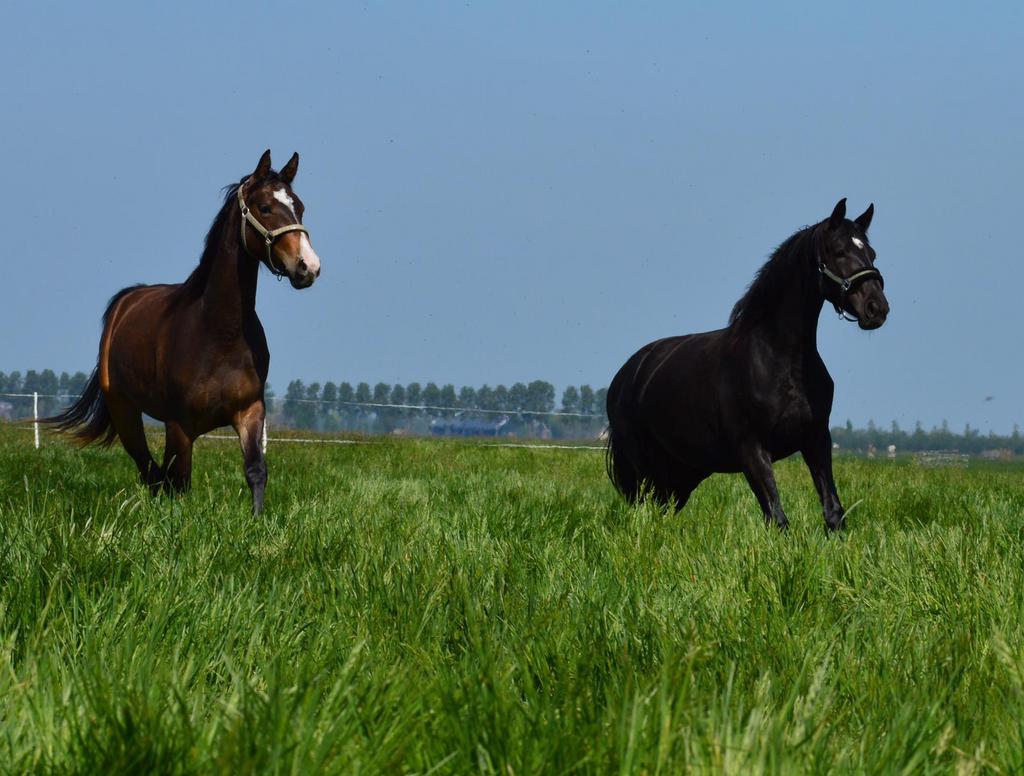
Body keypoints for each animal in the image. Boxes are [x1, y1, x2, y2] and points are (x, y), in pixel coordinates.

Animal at [46, 150, 322, 515]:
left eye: (299, 206)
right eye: (265, 207)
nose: (309, 266)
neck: (219, 332)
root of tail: (126, 302)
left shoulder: (250, 411)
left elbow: (255, 470)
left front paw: (257, 520)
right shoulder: (179, 425)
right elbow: (179, 482)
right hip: (124, 411)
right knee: (150, 471)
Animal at [605, 199, 888, 530]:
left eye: (871, 253)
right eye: (839, 251)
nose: (877, 308)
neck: (779, 359)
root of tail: (627, 374)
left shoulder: (816, 439)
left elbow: (833, 511)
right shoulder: (751, 450)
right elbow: (777, 517)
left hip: (683, 471)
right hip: (643, 468)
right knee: (644, 509)